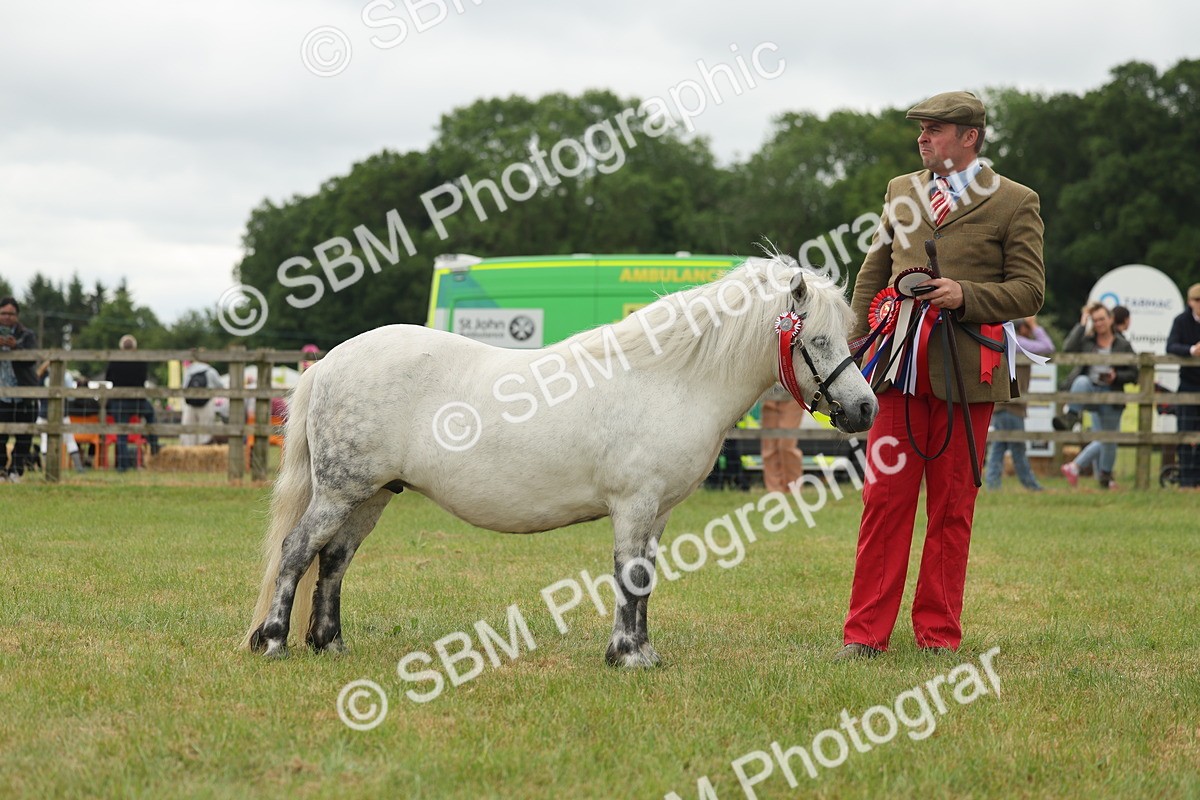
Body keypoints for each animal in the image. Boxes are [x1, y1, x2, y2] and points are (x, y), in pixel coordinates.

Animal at [244, 256, 878, 667]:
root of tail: (329, 363)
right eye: (818, 340)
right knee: (298, 551)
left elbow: (646, 578)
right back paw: (273, 642)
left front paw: (643, 651)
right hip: (340, 491)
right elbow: (630, 575)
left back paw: (330, 644)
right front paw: (627, 657)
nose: (866, 408)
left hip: (371, 495)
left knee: (334, 561)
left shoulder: (659, 513)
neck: (669, 379)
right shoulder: (634, 505)